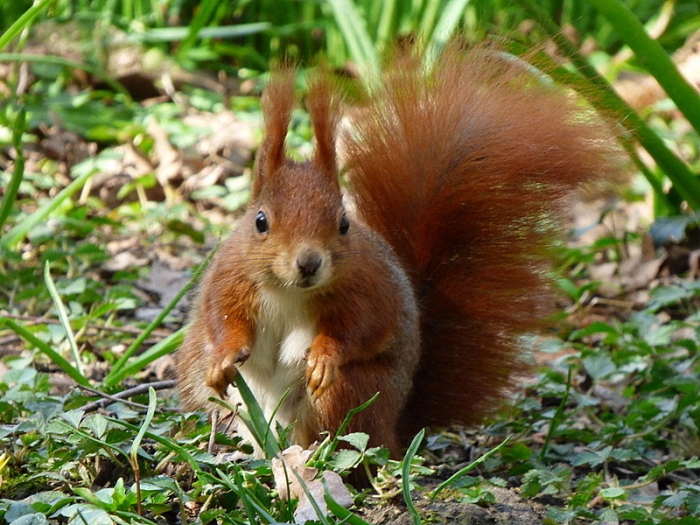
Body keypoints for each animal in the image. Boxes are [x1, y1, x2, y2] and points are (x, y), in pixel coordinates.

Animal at [175, 44, 621, 457]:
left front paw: (324, 356)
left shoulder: (368, 286)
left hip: (356, 391)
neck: (290, 292)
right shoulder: (230, 277)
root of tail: (397, 427)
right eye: (261, 221)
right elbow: (221, 317)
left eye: (343, 223)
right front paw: (224, 357)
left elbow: (365, 326)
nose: (309, 263)